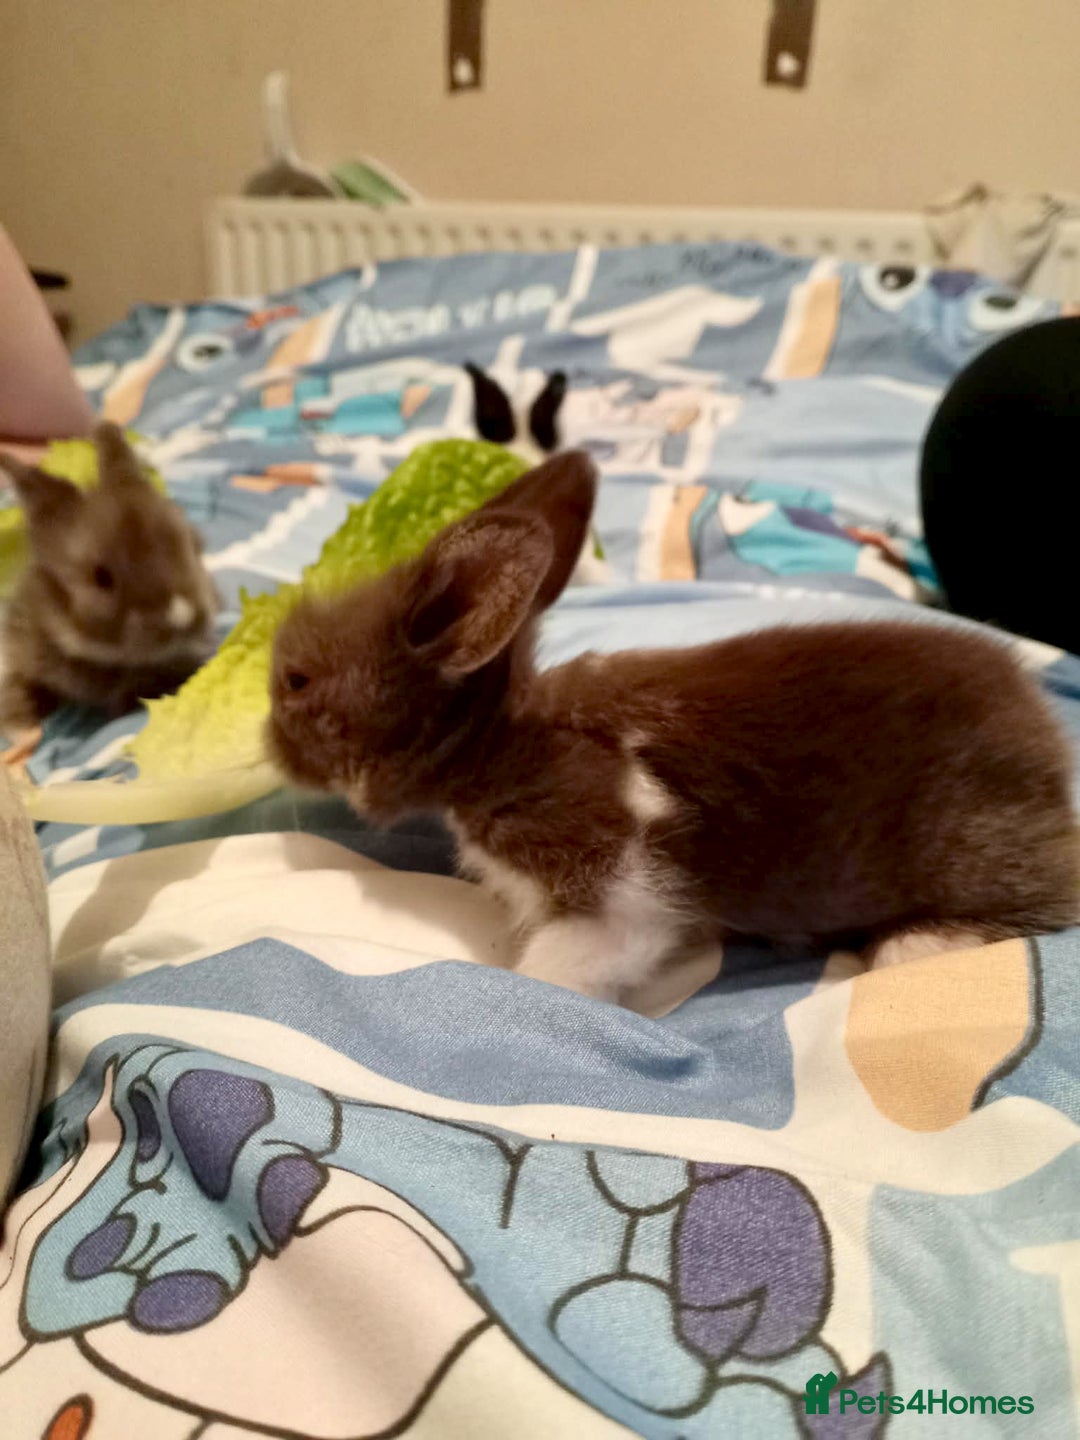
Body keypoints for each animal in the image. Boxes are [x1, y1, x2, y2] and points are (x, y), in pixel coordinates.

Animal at [267, 450, 1080, 1005]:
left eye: (295, 681)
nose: (267, 748)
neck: (500, 743)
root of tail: (1043, 734)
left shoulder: (616, 893)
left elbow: (559, 967)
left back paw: (912, 945)